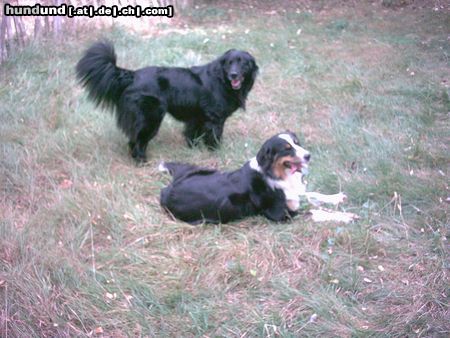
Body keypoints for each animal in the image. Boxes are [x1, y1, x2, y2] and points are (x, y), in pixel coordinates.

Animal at [76, 41, 258, 162]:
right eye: (229, 63)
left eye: (243, 63)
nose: (233, 75)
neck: (222, 80)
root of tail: (133, 75)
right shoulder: (214, 118)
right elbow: (214, 137)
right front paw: (216, 152)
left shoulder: (197, 117)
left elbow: (192, 135)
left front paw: (193, 150)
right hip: (151, 117)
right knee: (137, 140)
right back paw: (141, 160)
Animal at [159, 131, 358, 224]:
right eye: (287, 149)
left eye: (297, 143)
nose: (308, 155)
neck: (275, 174)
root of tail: (167, 190)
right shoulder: (279, 213)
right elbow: (313, 211)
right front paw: (345, 216)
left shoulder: (294, 194)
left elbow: (312, 194)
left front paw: (336, 197)